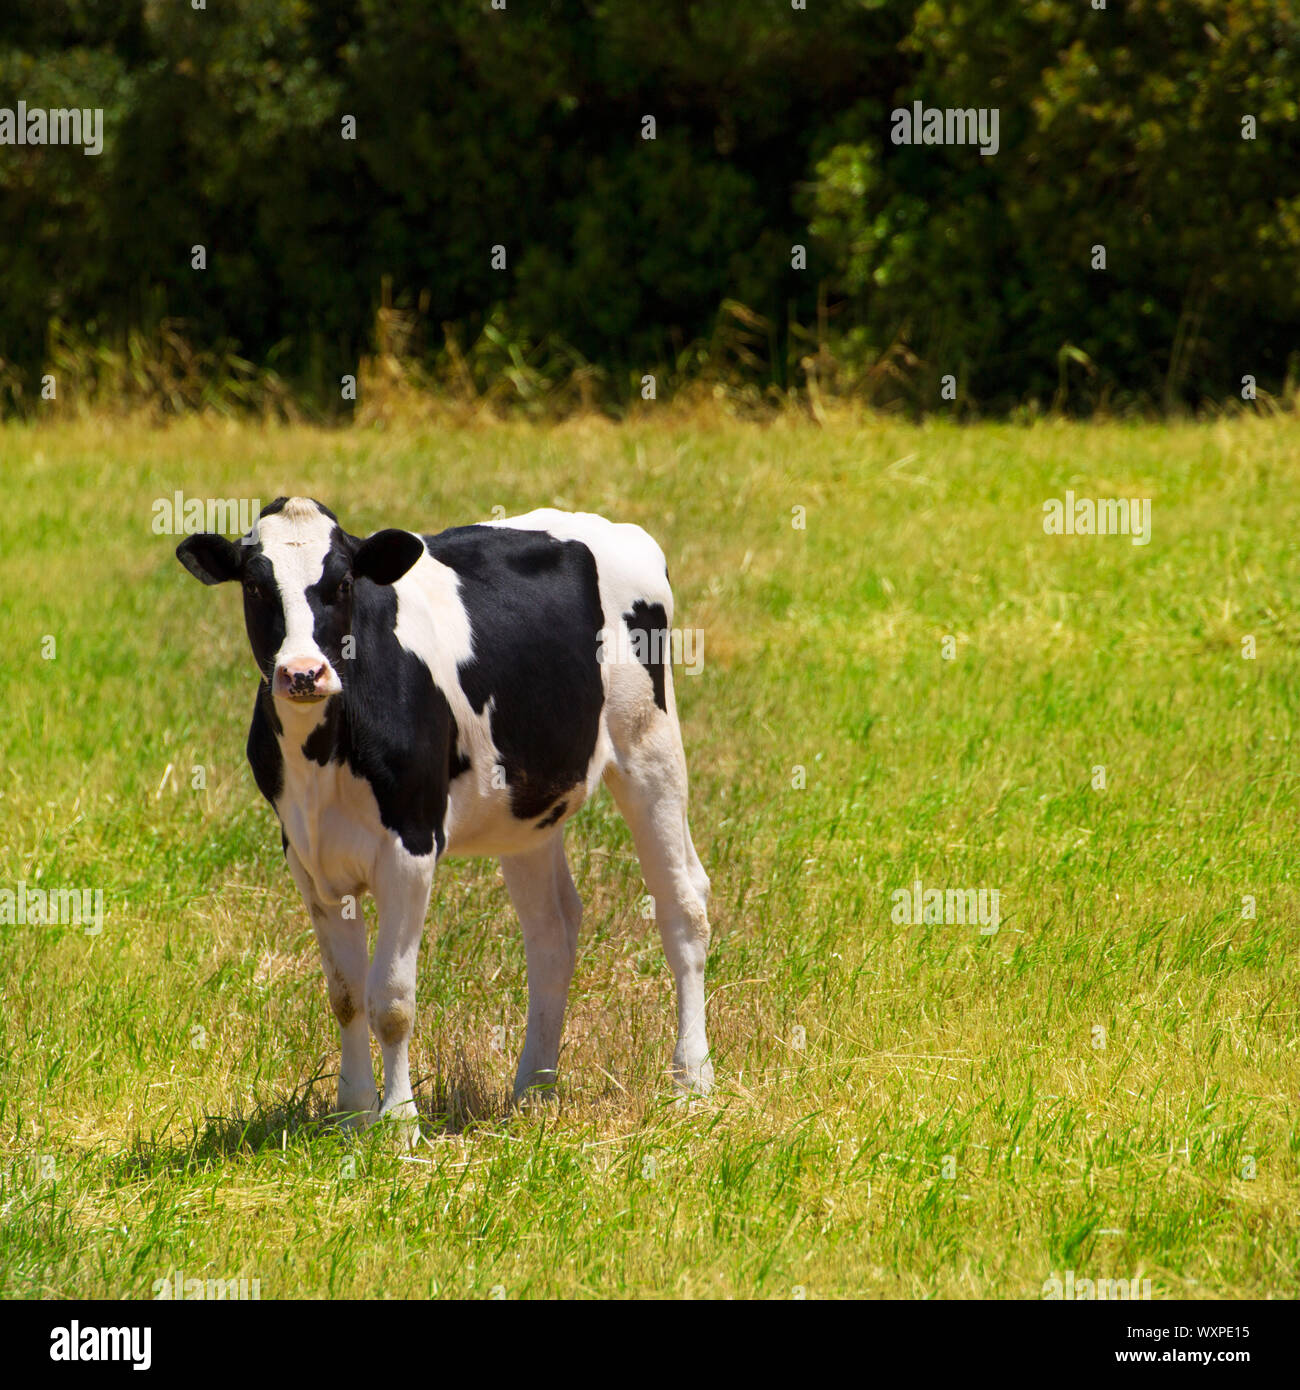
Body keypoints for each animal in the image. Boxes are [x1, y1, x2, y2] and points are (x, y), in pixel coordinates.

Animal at [175, 494, 711, 1134]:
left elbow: (391, 998)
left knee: (684, 908)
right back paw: (533, 1089)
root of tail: (615, 528)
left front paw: (399, 1121)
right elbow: (346, 994)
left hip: (650, 747)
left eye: (343, 582)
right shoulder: (307, 855)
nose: (303, 672)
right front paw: (352, 1115)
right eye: (256, 586)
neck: (322, 752)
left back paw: (690, 1082)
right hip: (525, 808)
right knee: (552, 930)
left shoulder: (411, 843)